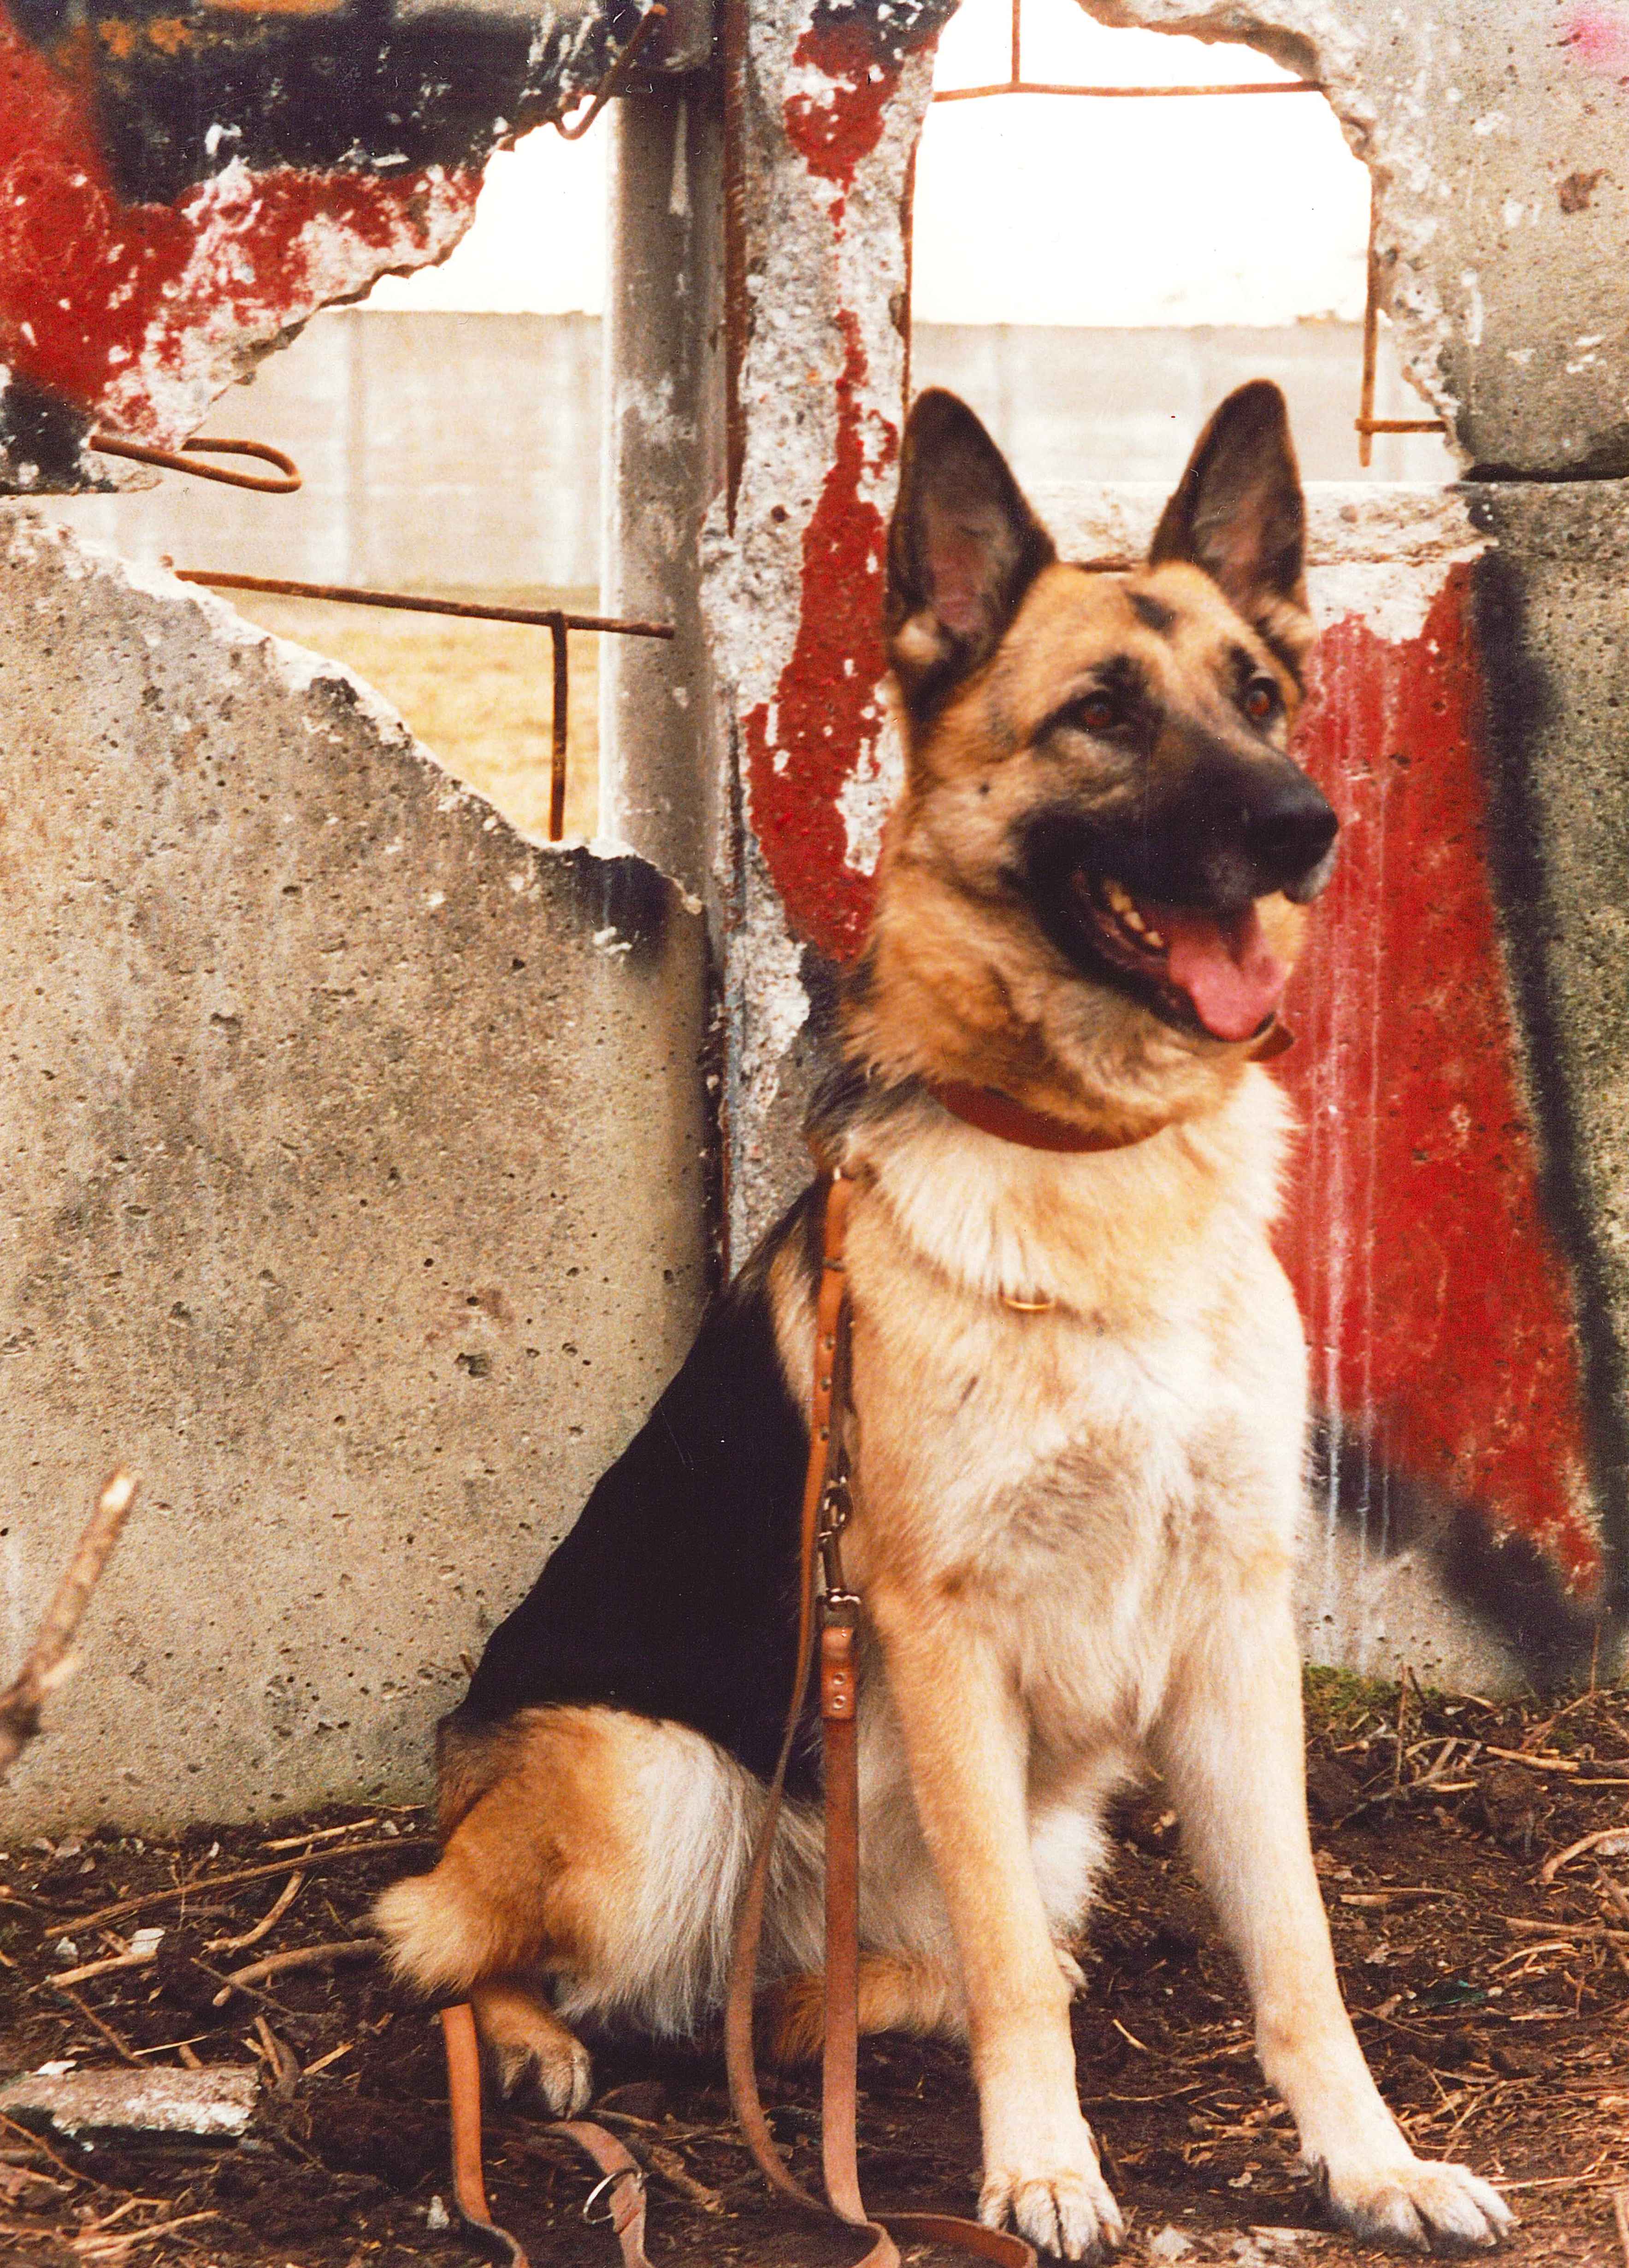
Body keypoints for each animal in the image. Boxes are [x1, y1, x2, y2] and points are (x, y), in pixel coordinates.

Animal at [378, 381, 1515, 2259]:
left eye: (1256, 692)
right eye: (1099, 714)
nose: (1305, 824)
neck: (1092, 1157)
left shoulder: (1233, 1627)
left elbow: (1292, 1945)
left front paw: (1372, 2161)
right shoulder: (940, 1628)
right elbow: (1011, 1972)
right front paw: (1045, 2166)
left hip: (1030, 1842)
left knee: (873, 1980)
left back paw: (787, 2019)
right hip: (653, 1786)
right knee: (440, 1943)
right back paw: (542, 2045)